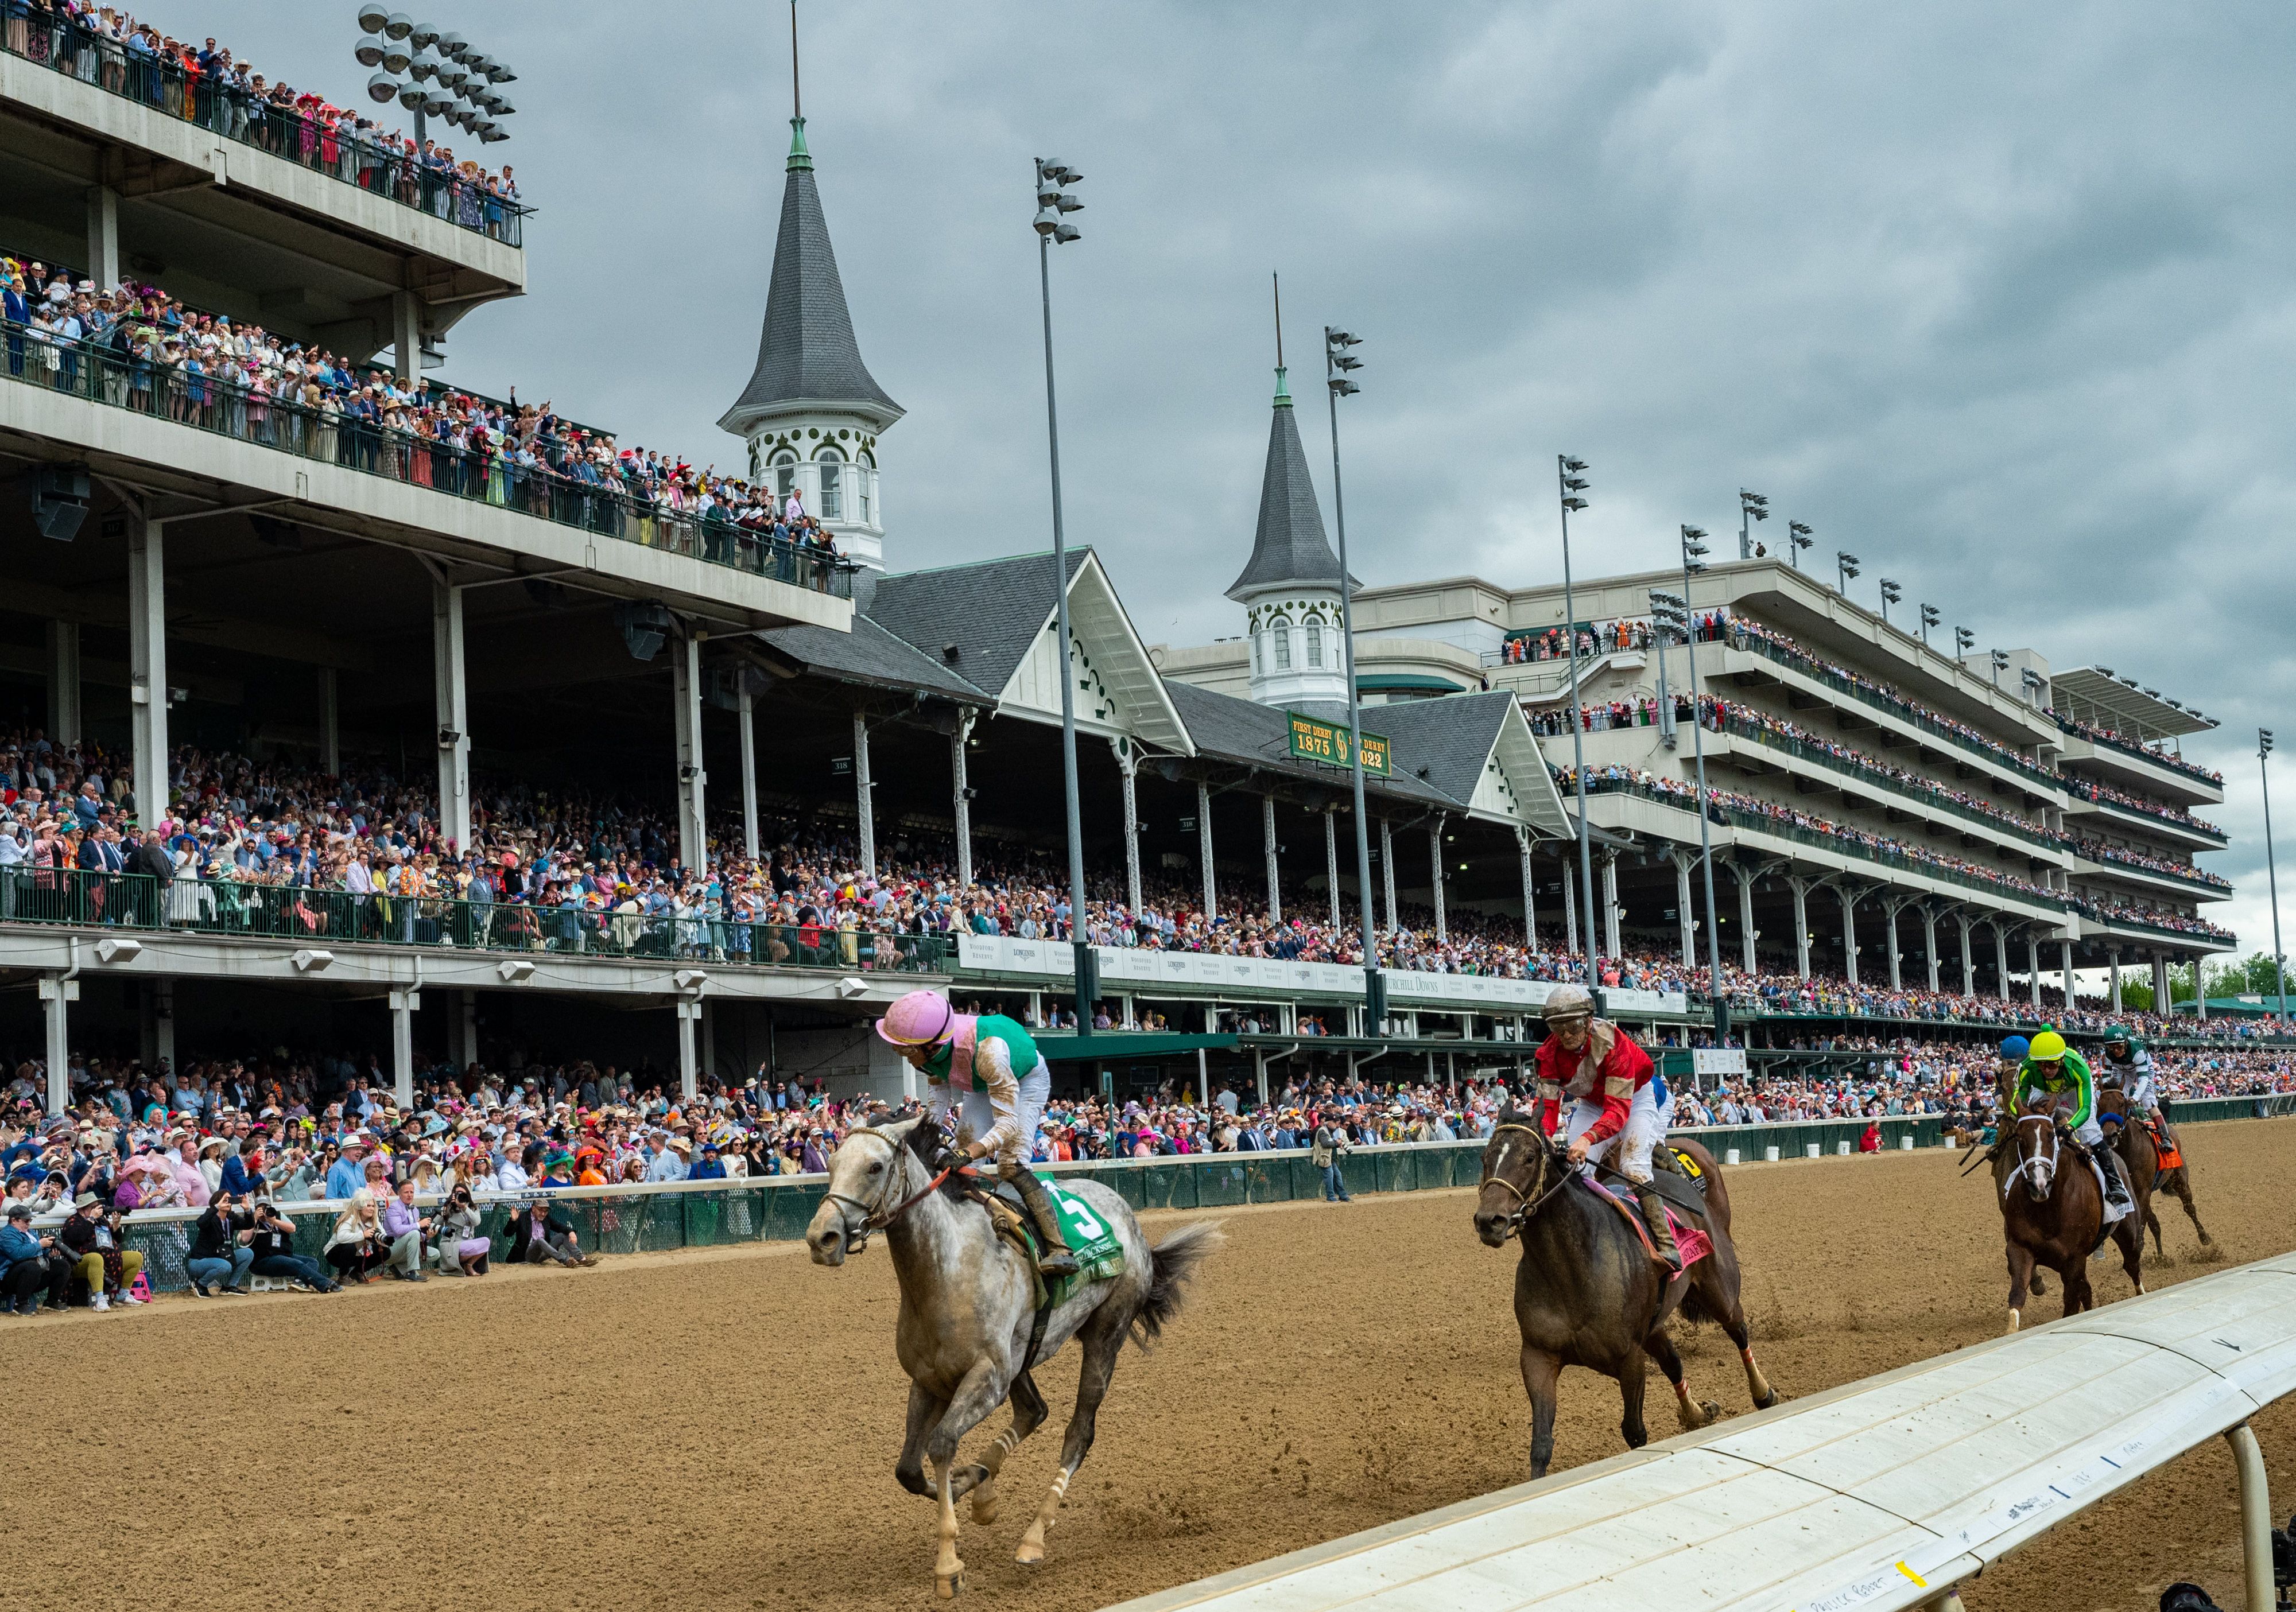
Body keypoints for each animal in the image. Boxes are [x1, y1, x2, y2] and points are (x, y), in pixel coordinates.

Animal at [804, 1116, 1221, 1598]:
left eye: (875, 1166)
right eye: (831, 1162)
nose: (822, 1238)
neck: (948, 1270)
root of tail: (1131, 1221)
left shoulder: (988, 1377)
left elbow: (942, 1443)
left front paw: (948, 1562)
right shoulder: (928, 1380)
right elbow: (908, 1469)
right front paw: (972, 1492)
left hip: (1105, 1334)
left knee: (1078, 1432)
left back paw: (1034, 1536)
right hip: (1025, 1351)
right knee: (1034, 1410)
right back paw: (984, 1485)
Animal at [1479, 1116, 1782, 1487]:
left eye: (1530, 1157)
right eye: (1485, 1159)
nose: (1488, 1221)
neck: (1572, 1268)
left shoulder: (1630, 1360)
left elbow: (1635, 1432)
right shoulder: (1538, 1356)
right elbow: (1541, 1444)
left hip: (1720, 1292)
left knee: (1739, 1331)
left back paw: (1763, 1393)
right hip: (1654, 1325)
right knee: (1674, 1362)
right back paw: (1696, 1414)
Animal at [1993, 1097, 2149, 1341]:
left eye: (2051, 1135)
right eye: (2019, 1137)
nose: (2039, 1184)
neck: (2049, 1210)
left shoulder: (2074, 1260)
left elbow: (2071, 1304)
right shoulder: (2020, 1248)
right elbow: (2018, 1293)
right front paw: (2011, 1331)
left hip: (2129, 1233)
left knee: (2132, 1266)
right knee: (2088, 1289)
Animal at [2094, 1083, 2213, 1267]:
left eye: (2122, 1104)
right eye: (2099, 1105)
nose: (2109, 1135)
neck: (2129, 1149)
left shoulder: (2143, 1191)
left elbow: (2143, 1221)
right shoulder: (2134, 1192)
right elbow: (2149, 1221)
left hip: (2180, 1180)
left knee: (2189, 1208)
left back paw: (2204, 1237)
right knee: (2156, 1223)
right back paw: (2161, 1256)